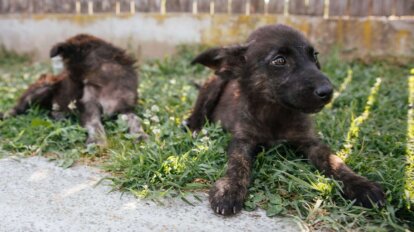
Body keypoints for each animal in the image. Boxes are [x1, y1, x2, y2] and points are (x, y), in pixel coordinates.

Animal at [1, 34, 147, 147]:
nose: (67, 96)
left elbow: (136, 119)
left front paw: (140, 135)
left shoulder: (124, 109)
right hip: (42, 87)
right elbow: (94, 123)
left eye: (72, 76)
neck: (105, 80)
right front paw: (97, 141)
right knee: (18, 107)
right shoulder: (89, 106)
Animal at [186, 24, 386, 216]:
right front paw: (229, 188)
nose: (327, 91)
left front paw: (361, 185)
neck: (276, 112)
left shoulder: (310, 141)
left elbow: (335, 161)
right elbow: (238, 163)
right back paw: (194, 127)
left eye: (314, 56)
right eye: (280, 60)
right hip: (214, 84)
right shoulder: (242, 140)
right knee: (198, 110)